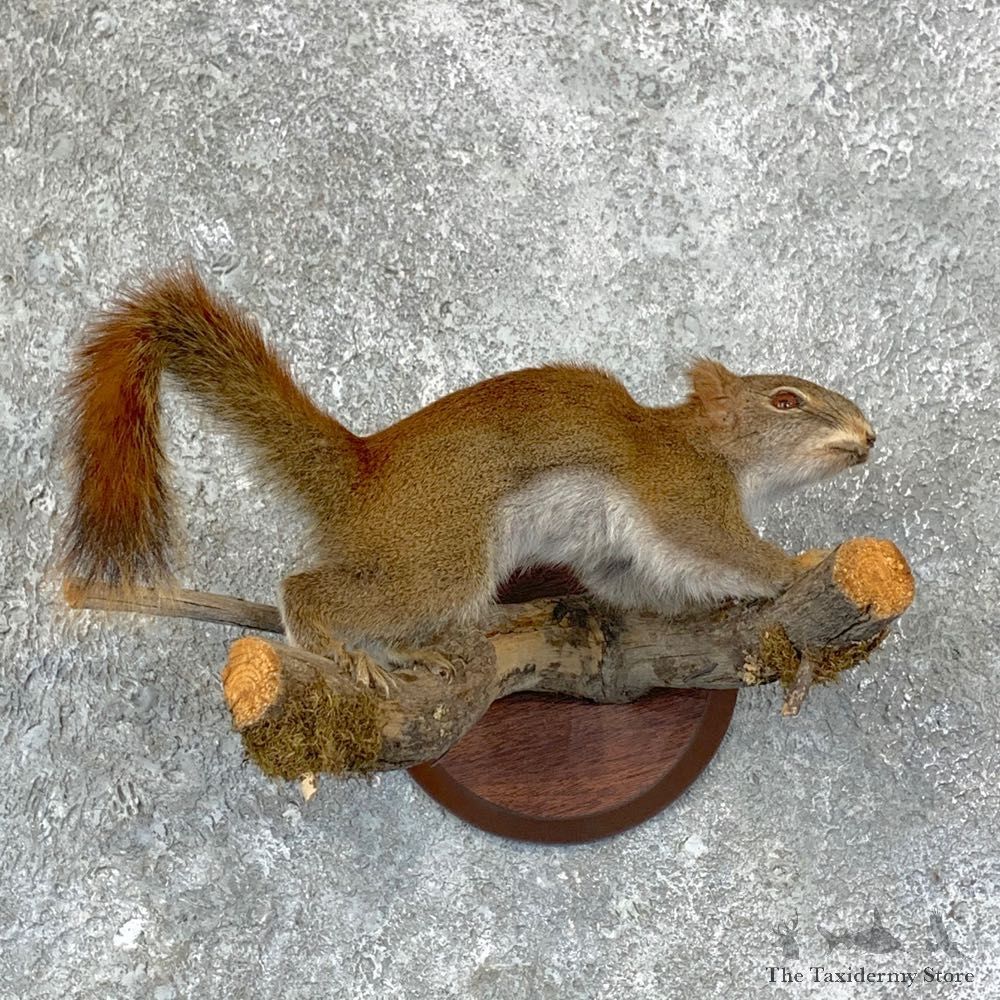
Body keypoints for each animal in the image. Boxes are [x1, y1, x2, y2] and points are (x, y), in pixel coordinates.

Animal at [61, 266, 876, 693]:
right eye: (785, 400)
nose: (869, 436)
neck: (705, 446)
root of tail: (361, 472)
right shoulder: (682, 495)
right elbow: (722, 545)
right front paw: (794, 564)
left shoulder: (619, 552)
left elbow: (639, 584)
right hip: (437, 559)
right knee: (308, 589)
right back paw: (342, 648)